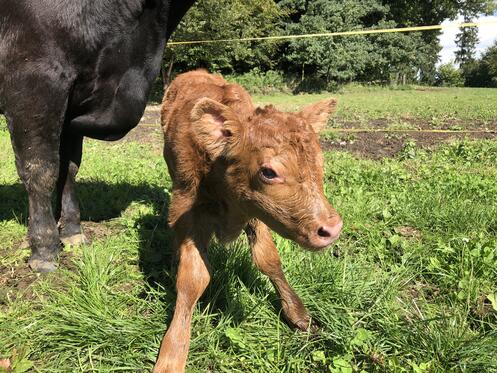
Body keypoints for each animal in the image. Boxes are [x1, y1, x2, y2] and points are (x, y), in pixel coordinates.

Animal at [0, 1, 198, 272]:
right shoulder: (32, 80)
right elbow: (41, 170)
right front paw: (45, 249)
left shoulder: (73, 109)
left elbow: (68, 169)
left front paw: (72, 232)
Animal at [154, 69, 340, 370]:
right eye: (268, 172)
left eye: (320, 163)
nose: (332, 229)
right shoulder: (187, 207)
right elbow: (193, 277)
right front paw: (172, 355)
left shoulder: (256, 210)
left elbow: (268, 259)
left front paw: (298, 314)